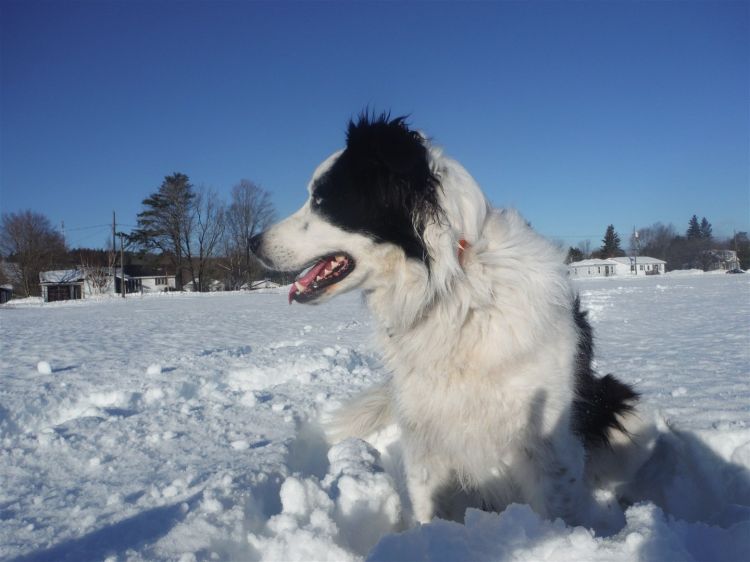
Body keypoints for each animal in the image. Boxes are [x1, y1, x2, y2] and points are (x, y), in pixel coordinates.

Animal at [251, 114, 652, 524]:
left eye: (321, 199)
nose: (252, 242)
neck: (452, 289)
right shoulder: (424, 437)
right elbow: (428, 509)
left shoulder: (548, 445)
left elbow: (555, 513)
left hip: (627, 409)